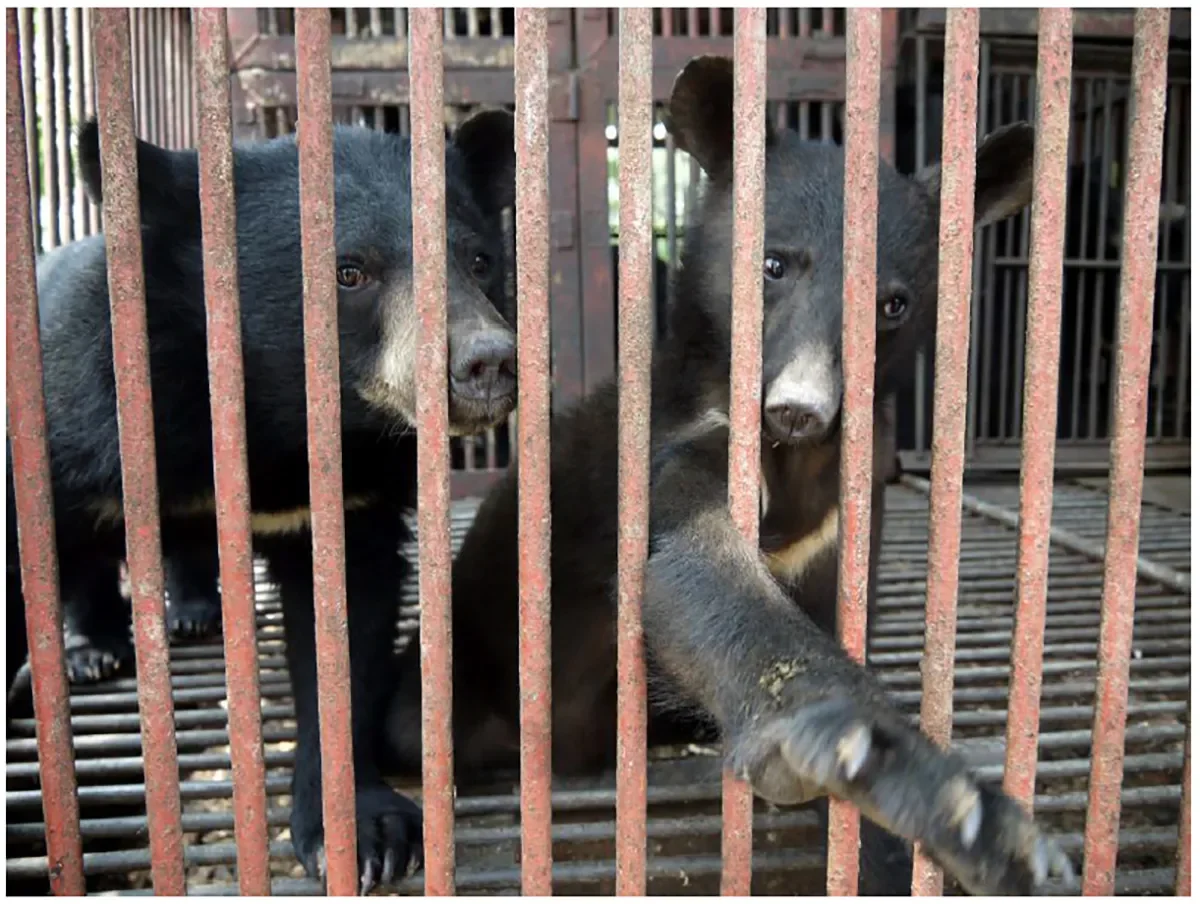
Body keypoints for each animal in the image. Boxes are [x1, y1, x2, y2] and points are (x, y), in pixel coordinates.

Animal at [5, 111, 520, 888]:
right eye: (349, 271)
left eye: (481, 261)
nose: (489, 362)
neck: (275, 418)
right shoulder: (80, 405)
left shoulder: (350, 493)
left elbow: (344, 625)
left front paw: (365, 832)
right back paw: (92, 650)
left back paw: (190, 611)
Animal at [381, 58, 1070, 897]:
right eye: (773, 265)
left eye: (893, 304)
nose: (800, 407)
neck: (798, 460)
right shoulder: (677, 446)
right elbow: (692, 569)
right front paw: (916, 783)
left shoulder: (852, 505)